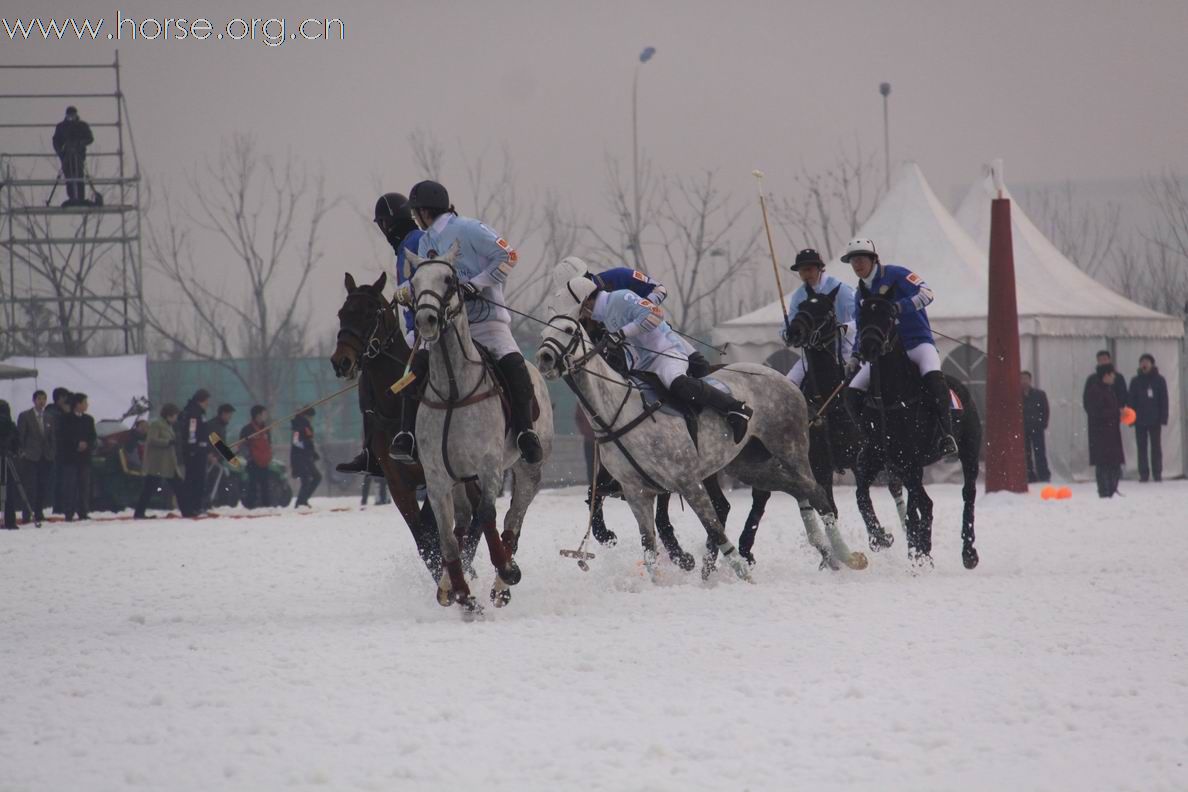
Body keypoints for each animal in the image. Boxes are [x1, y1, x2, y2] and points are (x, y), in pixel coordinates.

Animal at [327, 270, 479, 581]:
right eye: (342, 313)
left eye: (371, 313)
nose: (342, 361)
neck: (395, 406)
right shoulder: (398, 483)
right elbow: (424, 541)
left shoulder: (437, 476)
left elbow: (436, 532)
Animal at [406, 249, 553, 617]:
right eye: (414, 282)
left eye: (449, 279)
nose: (426, 320)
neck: (453, 390)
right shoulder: (438, 478)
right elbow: (447, 538)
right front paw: (461, 594)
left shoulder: (489, 467)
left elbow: (487, 515)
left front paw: (507, 570)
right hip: (461, 480)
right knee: (463, 523)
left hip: (529, 468)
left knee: (513, 518)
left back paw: (502, 584)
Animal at [536, 311, 864, 581]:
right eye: (543, 333)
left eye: (568, 329)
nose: (544, 359)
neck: (618, 413)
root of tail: (786, 380)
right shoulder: (636, 492)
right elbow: (649, 546)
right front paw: (659, 583)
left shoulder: (687, 481)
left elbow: (713, 526)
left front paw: (741, 574)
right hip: (749, 465)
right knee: (797, 490)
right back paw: (827, 554)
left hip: (791, 448)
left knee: (816, 491)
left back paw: (847, 555)